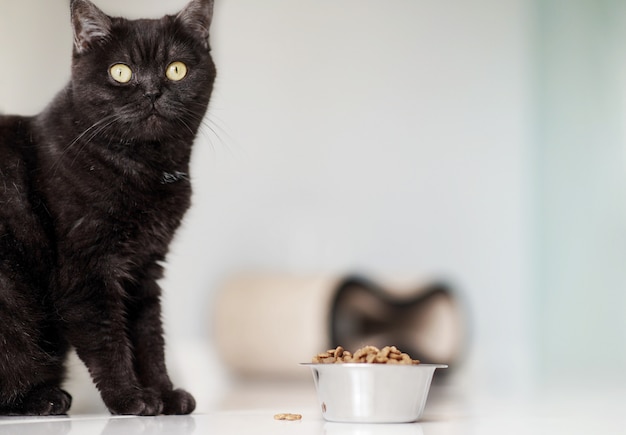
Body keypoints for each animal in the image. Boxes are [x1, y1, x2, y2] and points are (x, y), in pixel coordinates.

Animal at [0, 0, 217, 416]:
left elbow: (149, 340)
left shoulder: (144, 269)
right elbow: (107, 341)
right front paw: (130, 398)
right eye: (120, 72)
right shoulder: (87, 272)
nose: (152, 91)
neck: (146, 169)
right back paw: (46, 398)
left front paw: (165, 395)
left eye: (176, 69)